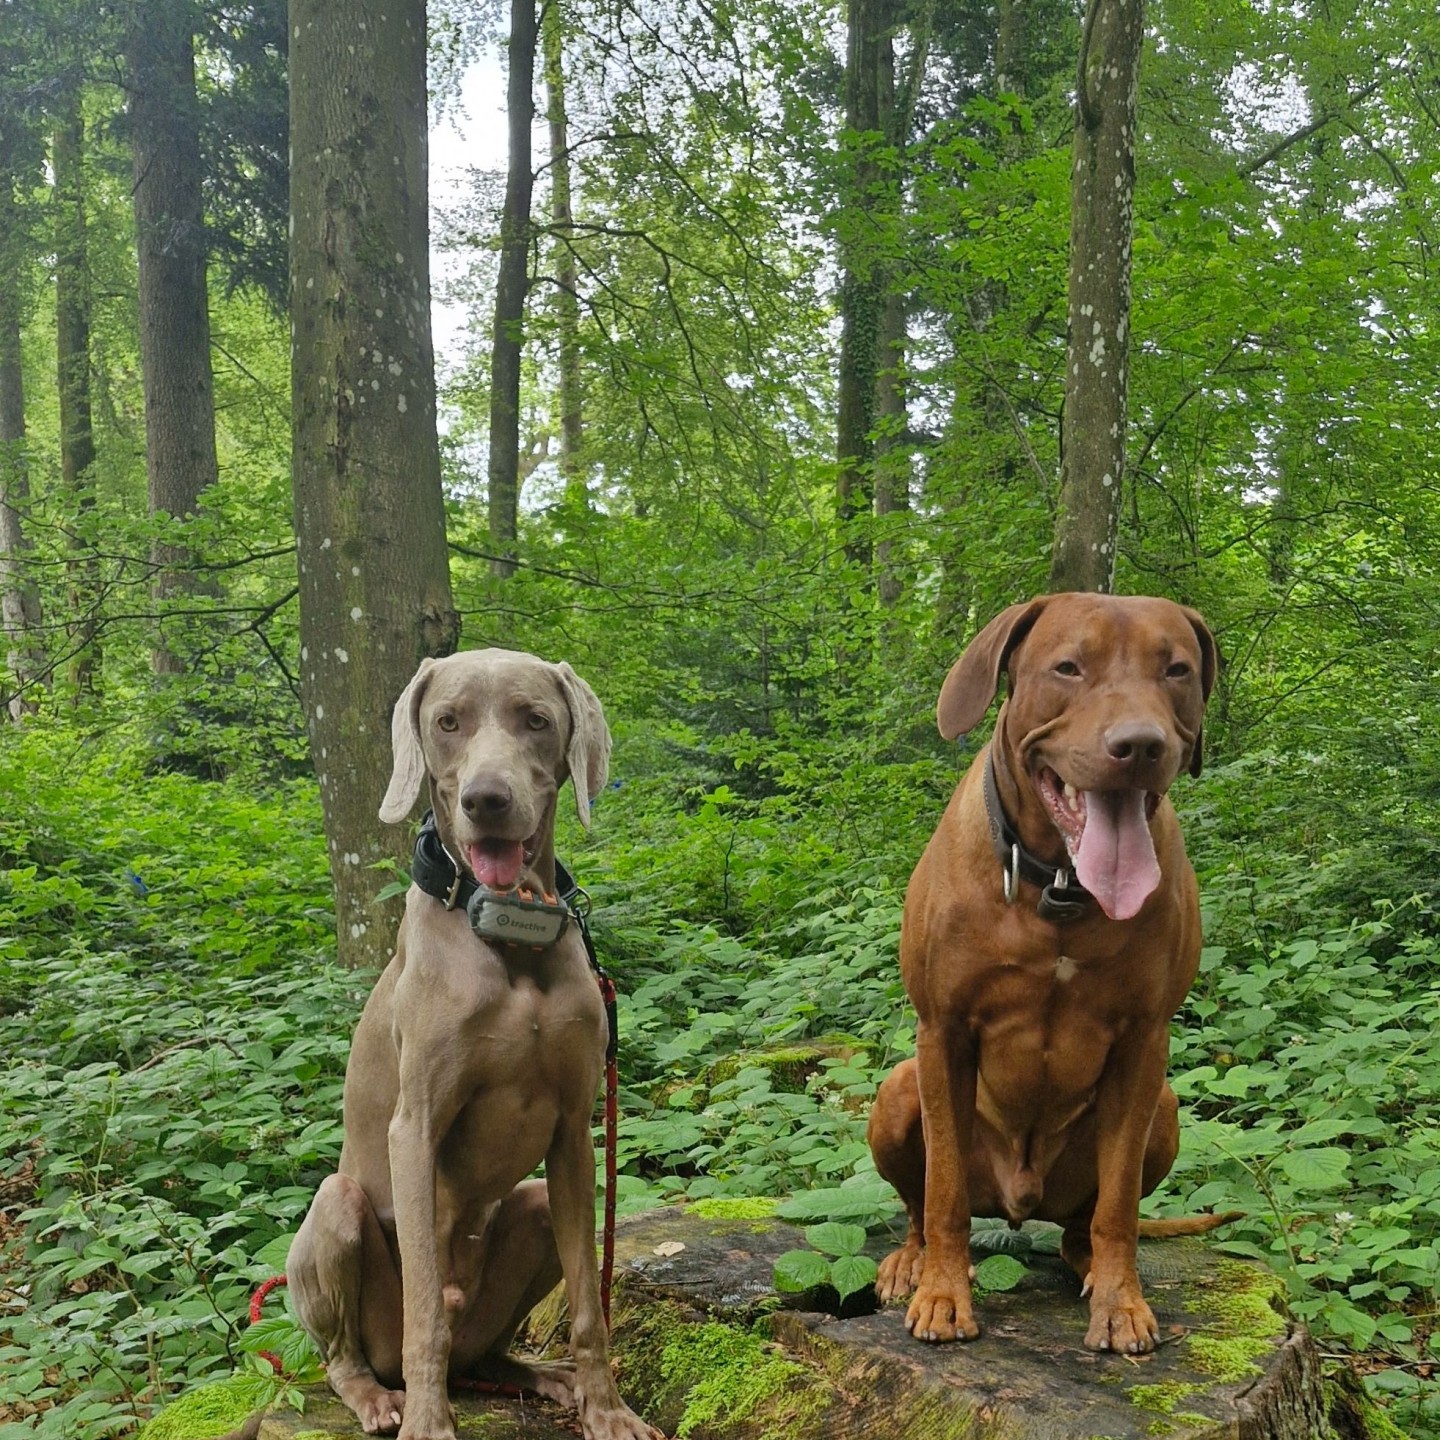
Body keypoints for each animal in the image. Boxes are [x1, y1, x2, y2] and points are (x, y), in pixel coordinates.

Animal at [288, 650, 659, 1440]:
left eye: (536, 720)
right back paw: (380, 1398)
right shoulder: (416, 1127)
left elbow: (590, 1306)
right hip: (338, 1212)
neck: (509, 933)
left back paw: (541, 1379)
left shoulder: (574, 1133)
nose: (486, 800)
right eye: (447, 722)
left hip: (531, 1219)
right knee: (351, 1352)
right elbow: (425, 1311)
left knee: (487, 1349)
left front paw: (608, 1409)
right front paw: (430, 1424)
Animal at [864, 590, 1226, 1353]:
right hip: (899, 1090)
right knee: (921, 1207)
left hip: (1162, 1109)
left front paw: (1121, 1304)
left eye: (1176, 670)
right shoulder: (943, 1032)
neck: (1061, 884)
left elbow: (1118, 1206)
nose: (1140, 745)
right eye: (1068, 668)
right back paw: (914, 1261)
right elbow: (942, 1194)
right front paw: (944, 1295)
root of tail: (1019, 1204)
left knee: (1081, 1226)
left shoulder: (1145, 1041)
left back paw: (1091, 1267)